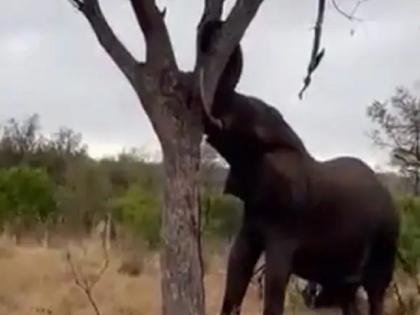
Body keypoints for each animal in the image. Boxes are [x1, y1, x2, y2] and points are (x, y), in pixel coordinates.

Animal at [197, 19, 400, 315]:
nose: (214, 25)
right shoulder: (253, 211)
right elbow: (238, 263)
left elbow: (276, 275)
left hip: (387, 237)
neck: (288, 142)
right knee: (346, 293)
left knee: (375, 290)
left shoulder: (288, 219)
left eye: (247, 117)